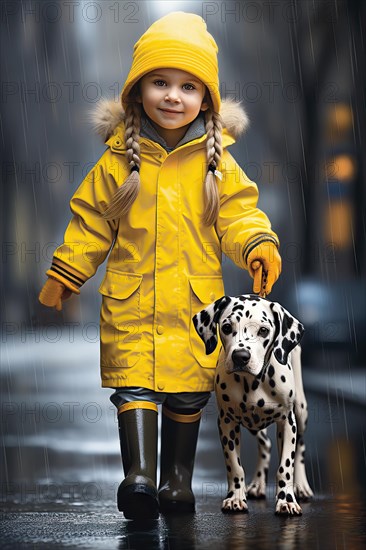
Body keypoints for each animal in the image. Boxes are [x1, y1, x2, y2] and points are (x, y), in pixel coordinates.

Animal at [193, 296, 314, 516]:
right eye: (226, 327)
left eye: (264, 330)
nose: (241, 356)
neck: (253, 382)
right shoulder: (227, 423)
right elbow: (234, 465)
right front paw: (235, 497)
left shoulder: (287, 421)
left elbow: (285, 466)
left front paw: (286, 500)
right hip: (253, 423)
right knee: (265, 444)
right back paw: (258, 484)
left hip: (301, 412)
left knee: (300, 447)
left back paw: (301, 485)